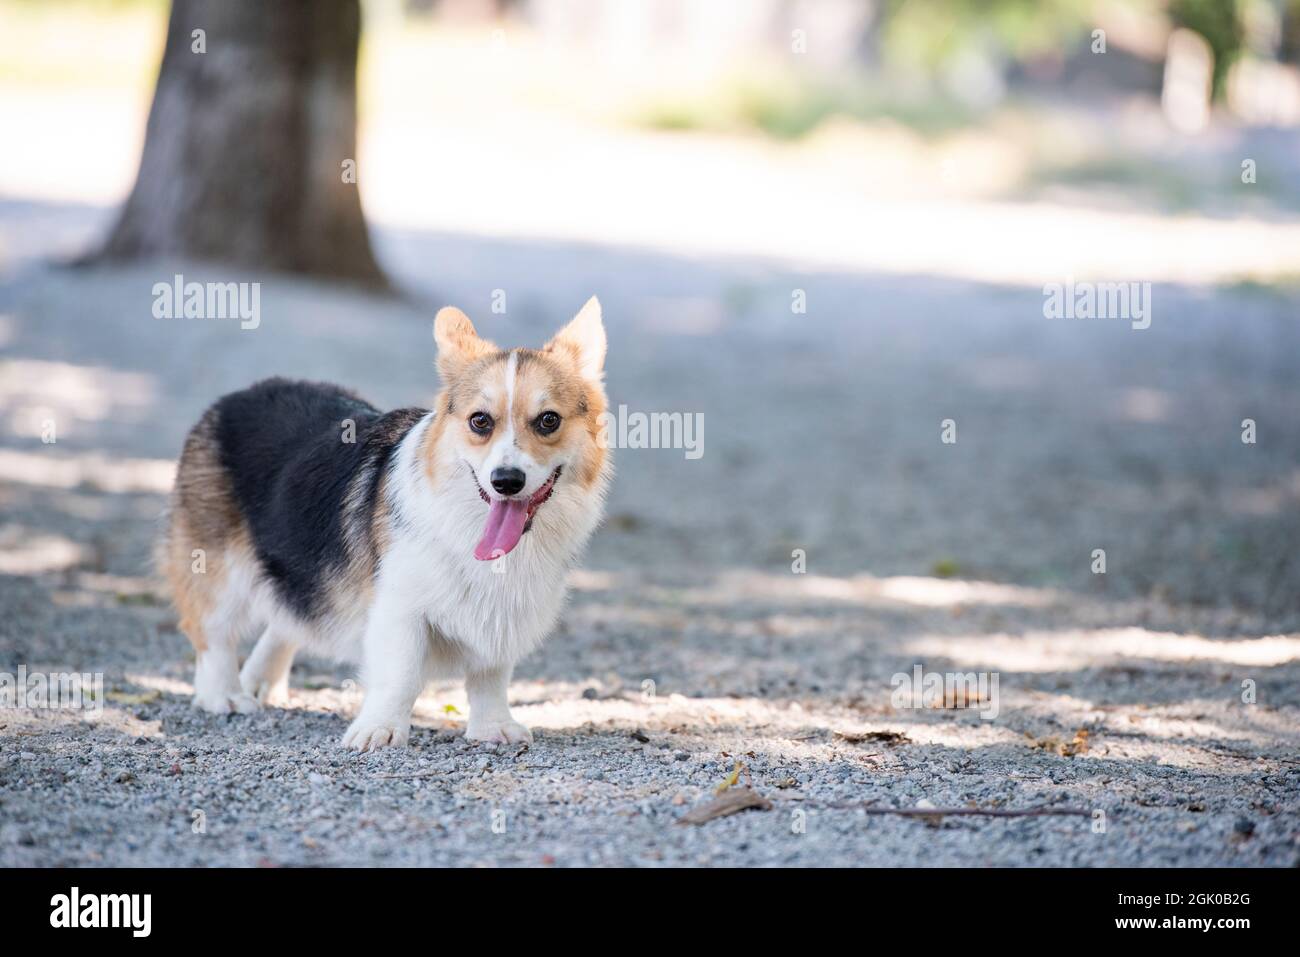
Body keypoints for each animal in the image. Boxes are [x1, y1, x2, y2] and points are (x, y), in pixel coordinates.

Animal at [158, 299, 613, 748]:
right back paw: (224, 696)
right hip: (217, 569)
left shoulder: (502, 616)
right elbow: (401, 675)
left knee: (286, 618)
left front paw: (493, 727)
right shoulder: (400, 607)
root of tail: (234, 397)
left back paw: (260, 682)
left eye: (549, 420)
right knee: (212, 633)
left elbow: (490, 675)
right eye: (480, 421)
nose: (506, 480)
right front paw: (380, 730)